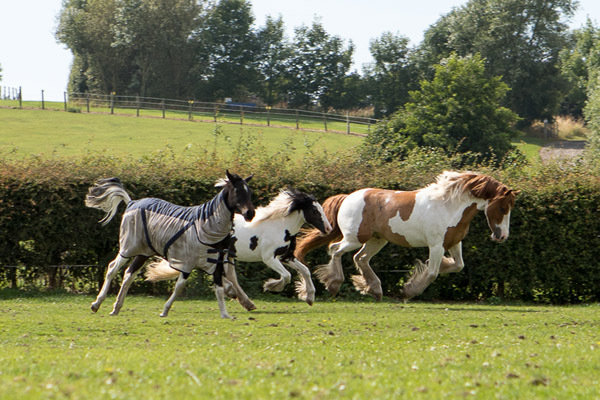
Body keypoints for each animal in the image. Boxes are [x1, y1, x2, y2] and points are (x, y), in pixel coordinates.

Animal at [85, 170, 254, 320]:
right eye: (237, 191)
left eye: (249, 191)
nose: (250, 213)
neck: (207, 226)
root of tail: (132, 202)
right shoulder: (187, 262)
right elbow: (179, 287)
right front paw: (164, 311)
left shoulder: (215, 262)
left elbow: (219, 287)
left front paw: (225, 314)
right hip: (128, 247)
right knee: (112, 268)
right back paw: (96, 304)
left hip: (143, 252)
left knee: (129, 274)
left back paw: (116, 307)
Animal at [145, 189, 332, 304]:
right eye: (315, 211)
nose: (329, 229)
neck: (280, 226)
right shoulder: (269, 258)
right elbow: (286, 276)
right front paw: (271, 286)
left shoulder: (286, 257)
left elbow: (305, 270)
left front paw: (309, 297)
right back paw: (236, 295)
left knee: (227, 275)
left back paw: (243, 300)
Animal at [296, 170, 520, 302]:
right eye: (502, 207)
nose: (502, 236)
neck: (449, 206)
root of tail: (347, 197)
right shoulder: (436, 245)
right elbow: (432, 273)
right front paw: (408, 291)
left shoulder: (454, 243)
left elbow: (457, 265)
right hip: (355, 238)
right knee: (336, 250)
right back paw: (334, 284)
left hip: (377, 239)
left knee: (360, 258)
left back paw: (374, 289)